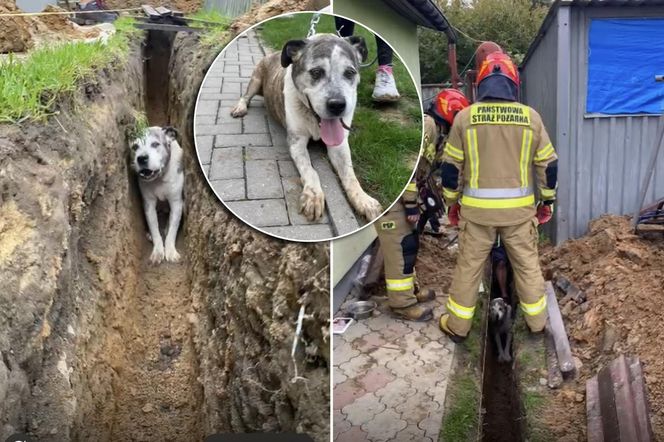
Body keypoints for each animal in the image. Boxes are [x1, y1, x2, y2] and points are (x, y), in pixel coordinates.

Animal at [130, 125, 184, 262]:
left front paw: (170, 251)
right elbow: (155, 229)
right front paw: (158, 251)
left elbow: (173, 229)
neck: (159, 178)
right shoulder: (149, 205)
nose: (141, 158)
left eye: (155, 144)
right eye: (135, 147)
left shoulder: (176, 203)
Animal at [231, 33, 382, 223]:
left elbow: (350, 175)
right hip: (256, 80)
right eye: (316, 72)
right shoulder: (296, 142)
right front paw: (313, 196)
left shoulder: (340, 145)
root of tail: (273, 53)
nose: (337, 105)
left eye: (350, 72)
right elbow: (310, 170)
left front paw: (364, 200)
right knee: (245, 95)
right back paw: (240, 107)